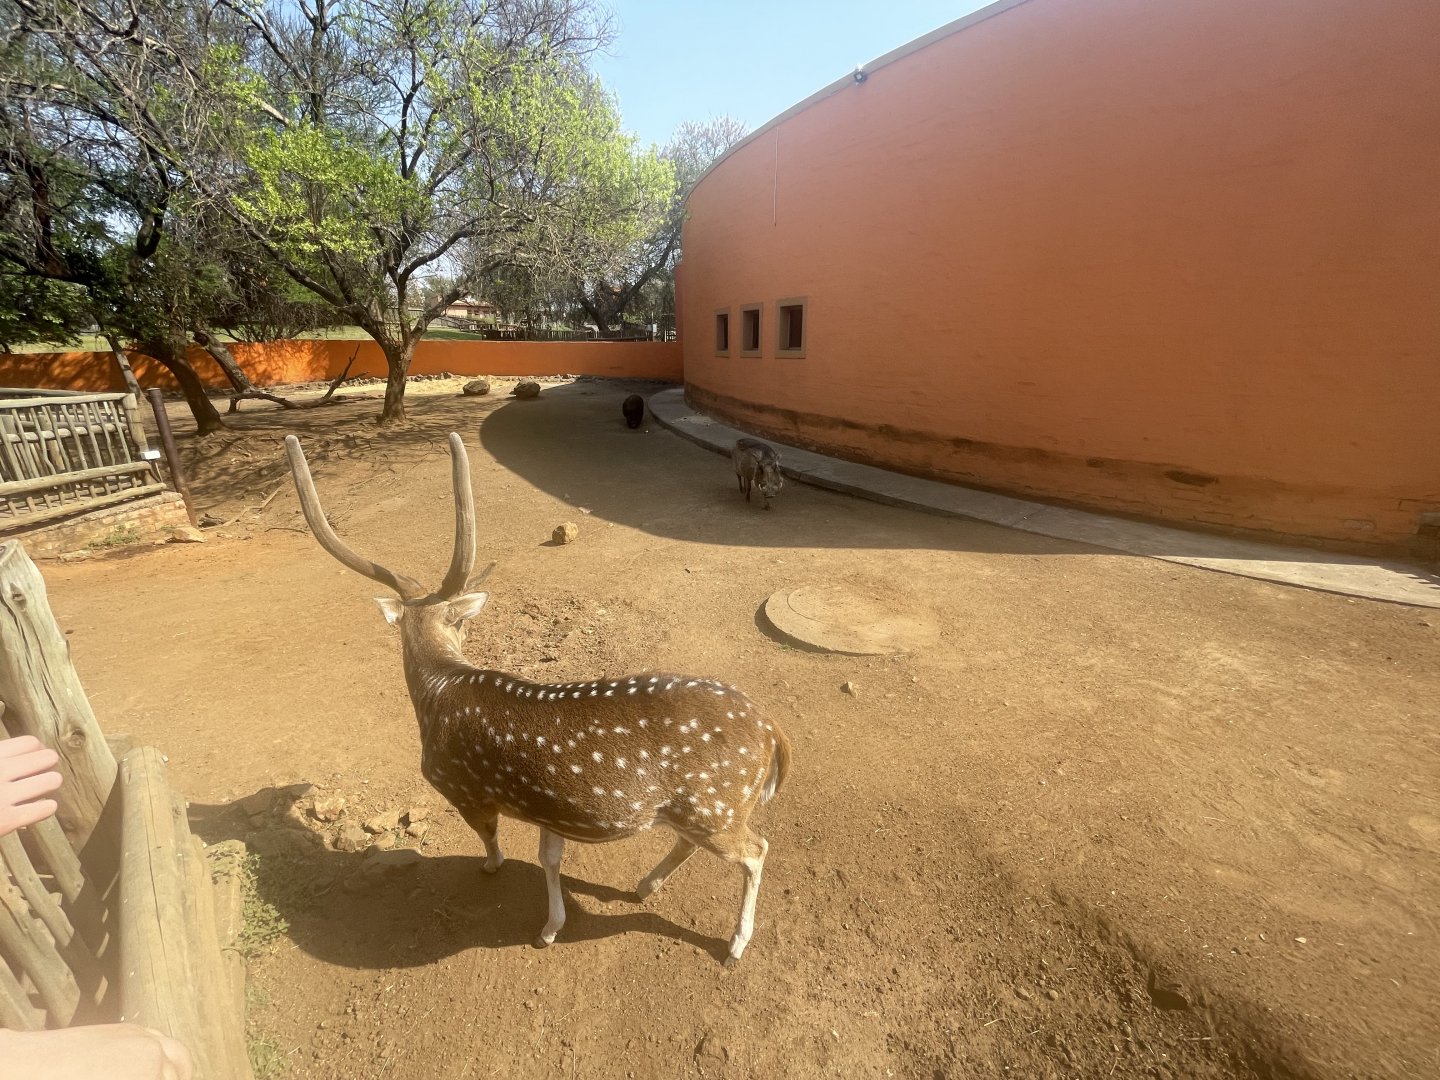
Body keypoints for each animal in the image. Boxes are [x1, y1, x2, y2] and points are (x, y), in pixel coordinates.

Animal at [284, 432, 791, 967]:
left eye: (463, 626)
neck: (436, 692)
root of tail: (773, 734)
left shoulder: (461, 789)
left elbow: (491, 838)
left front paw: (494, 868)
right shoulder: (550, 807)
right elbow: (550, 858)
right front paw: (550, 927)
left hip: (717, 803)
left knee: (757, 849)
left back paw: (735, 943)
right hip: (700, 810)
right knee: (694, 844)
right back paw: (644, 886)